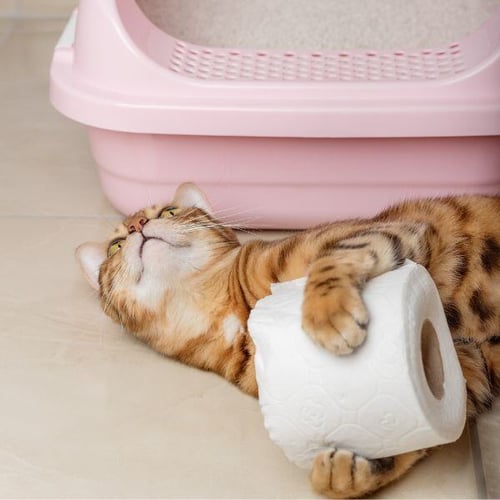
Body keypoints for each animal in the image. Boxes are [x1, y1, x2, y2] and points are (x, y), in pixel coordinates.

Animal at [76, 184, 498, 500]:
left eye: (168, 212)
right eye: (115, 246)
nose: (138, 223)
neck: (220, 310)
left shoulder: (390, 229)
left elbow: (331, 260)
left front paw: (328, 313)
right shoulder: (465, 366)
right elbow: (422, 431)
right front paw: (350, 473)